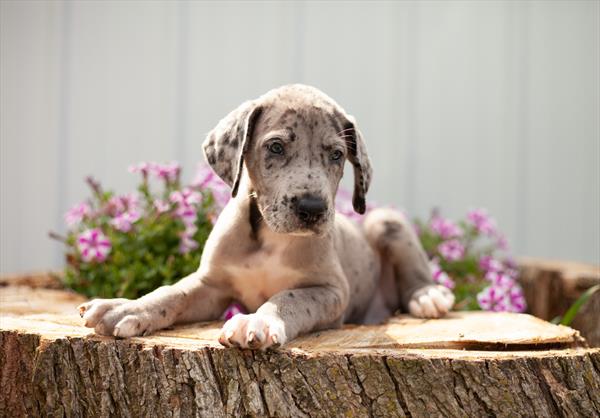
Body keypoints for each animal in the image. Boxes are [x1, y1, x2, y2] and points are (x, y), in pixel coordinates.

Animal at [79, 85, 454, 350]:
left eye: (336, 155)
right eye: (275, 147)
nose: (312, 208)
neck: (271, 238)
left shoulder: (332, 291)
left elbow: (289, 298)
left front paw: (257, 321)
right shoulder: (212, 285)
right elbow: (173, 292)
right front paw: (127, 308)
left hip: (385, 220)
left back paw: (428, 295)